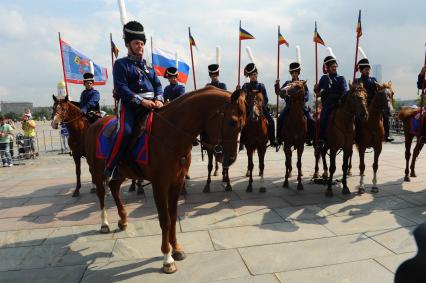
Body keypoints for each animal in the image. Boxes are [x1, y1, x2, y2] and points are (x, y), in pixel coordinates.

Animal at [85, 87, 245, 276]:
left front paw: (176, 248)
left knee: (114, 188)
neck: (171, 134)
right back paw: (104, 223)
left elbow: (173, 216)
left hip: (121, 172)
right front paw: (167, 258)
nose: (230, 159)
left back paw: (123, 220)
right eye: (232, 122)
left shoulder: (177, 182)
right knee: (102, 194)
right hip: (98, 172)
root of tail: (95, 124)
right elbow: (165, 220)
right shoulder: (160, 185)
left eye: (243, 124)